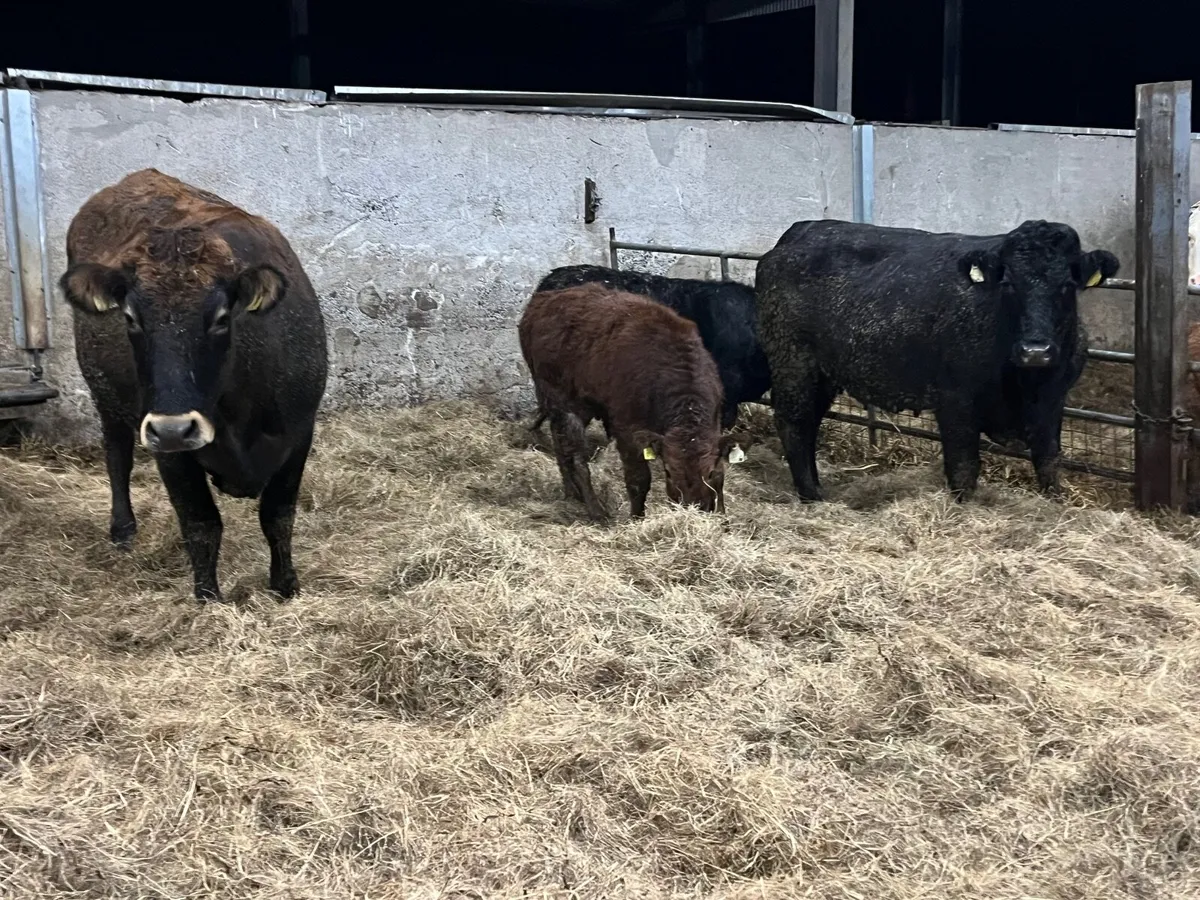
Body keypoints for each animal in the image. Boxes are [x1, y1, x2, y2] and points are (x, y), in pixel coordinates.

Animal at [59, 168, 328, 602]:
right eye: (130, 317)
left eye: (221, 317)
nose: (174, 428)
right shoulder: (169, 451)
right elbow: (201, 524)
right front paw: (208, 599)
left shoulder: (300, 432)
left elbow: (278, 516)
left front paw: (286, 587)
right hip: (107, 397)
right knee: (117, 455)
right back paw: (123, 529)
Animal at [518, 283, 750, 520]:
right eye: (668, 472)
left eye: (709, 472)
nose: (694, 507)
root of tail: (543, 299)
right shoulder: (627, 431)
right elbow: (639, 480)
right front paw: (637, 518)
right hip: (565, 403)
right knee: (576, 456)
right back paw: (596, 510)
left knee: (559, 443)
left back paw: (571, 492)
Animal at [755, 218, 1120, 502]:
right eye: (1008, 283)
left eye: (1068, 284)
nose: (1036, 351)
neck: (1025, 384)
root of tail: (801, 230)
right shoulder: (956, 401)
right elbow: (964, 469)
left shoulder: (1053, 402)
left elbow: (1049, 461)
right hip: (793, 362)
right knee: (794, 422)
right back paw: (812, 495)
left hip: (824, 373)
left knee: (810, 422)